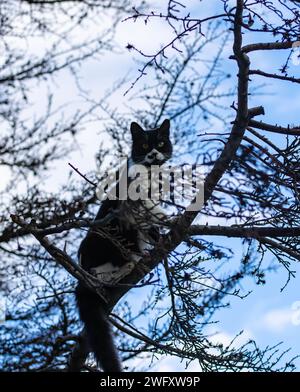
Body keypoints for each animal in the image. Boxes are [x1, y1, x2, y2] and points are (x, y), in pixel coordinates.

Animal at [75, 118, 172, 370]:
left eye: (160, 142)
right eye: (144, 145)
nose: (153, 153)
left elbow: (152, 228)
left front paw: (161, 238)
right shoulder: (135, 201)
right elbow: (154, 213)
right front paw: (171, 219)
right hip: (106, 240)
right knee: (102, 274)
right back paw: (130, 265)